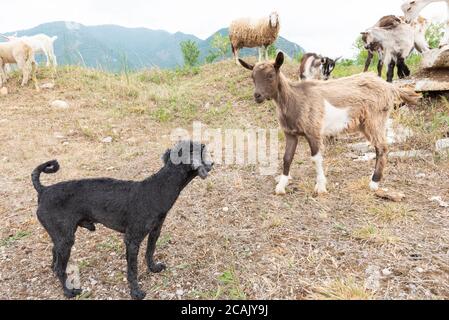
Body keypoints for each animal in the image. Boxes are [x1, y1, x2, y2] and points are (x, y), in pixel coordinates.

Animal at [32, 141, 214, 298]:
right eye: (199, 150)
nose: (212, 164)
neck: (158, 189)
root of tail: (44, 190)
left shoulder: (155, 231)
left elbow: (150, 252)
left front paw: (153, 268)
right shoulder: (132, 240)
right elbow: (132, 269)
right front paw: (136, 292)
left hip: (63, 237)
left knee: (54, 254)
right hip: (66, 239)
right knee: (60, 267)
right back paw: (68, 291)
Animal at [238, 52, 420, 195]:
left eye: (270, 75)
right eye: (253, 77)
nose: (257, 96)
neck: (295, 98)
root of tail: (389, 87)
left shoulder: (313, 131)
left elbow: (316, 158)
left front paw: (320, 187)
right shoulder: (290, 133)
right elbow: (287, 158)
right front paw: (281, 186)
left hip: (375, 118)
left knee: (382, 147)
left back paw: (374, 183)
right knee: (379, 147)